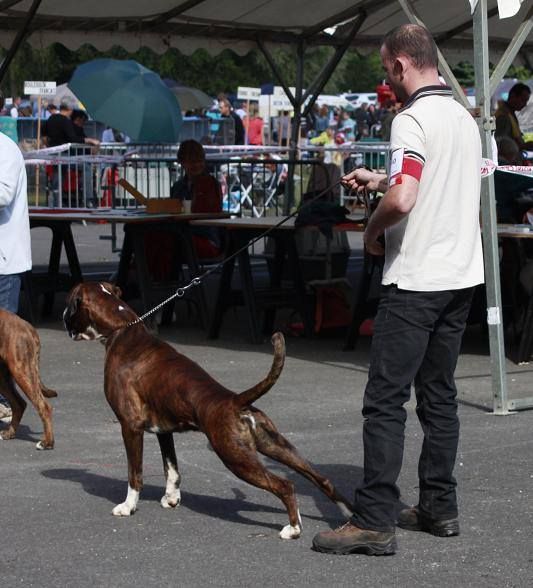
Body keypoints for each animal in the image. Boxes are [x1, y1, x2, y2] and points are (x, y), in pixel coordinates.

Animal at [0, 308, 57, 450]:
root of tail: (26, 325)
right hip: (5, 377)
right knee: (19, 404)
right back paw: (9, 433)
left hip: (22, 371)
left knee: (44, 407)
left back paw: (47, 443)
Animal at [64, 282, 352, 540]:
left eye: (69, 304)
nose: (64, 315)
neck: (123, 329)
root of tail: (236, 400)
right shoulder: (164, 430)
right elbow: (172, 469)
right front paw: (171, 498)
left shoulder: (130, 426)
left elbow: (135, 474)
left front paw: (128, 506)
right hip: (275, 447)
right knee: (320, 478)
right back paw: (348, 515)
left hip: (235, 457)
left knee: (285, 485)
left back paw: (293, 529)